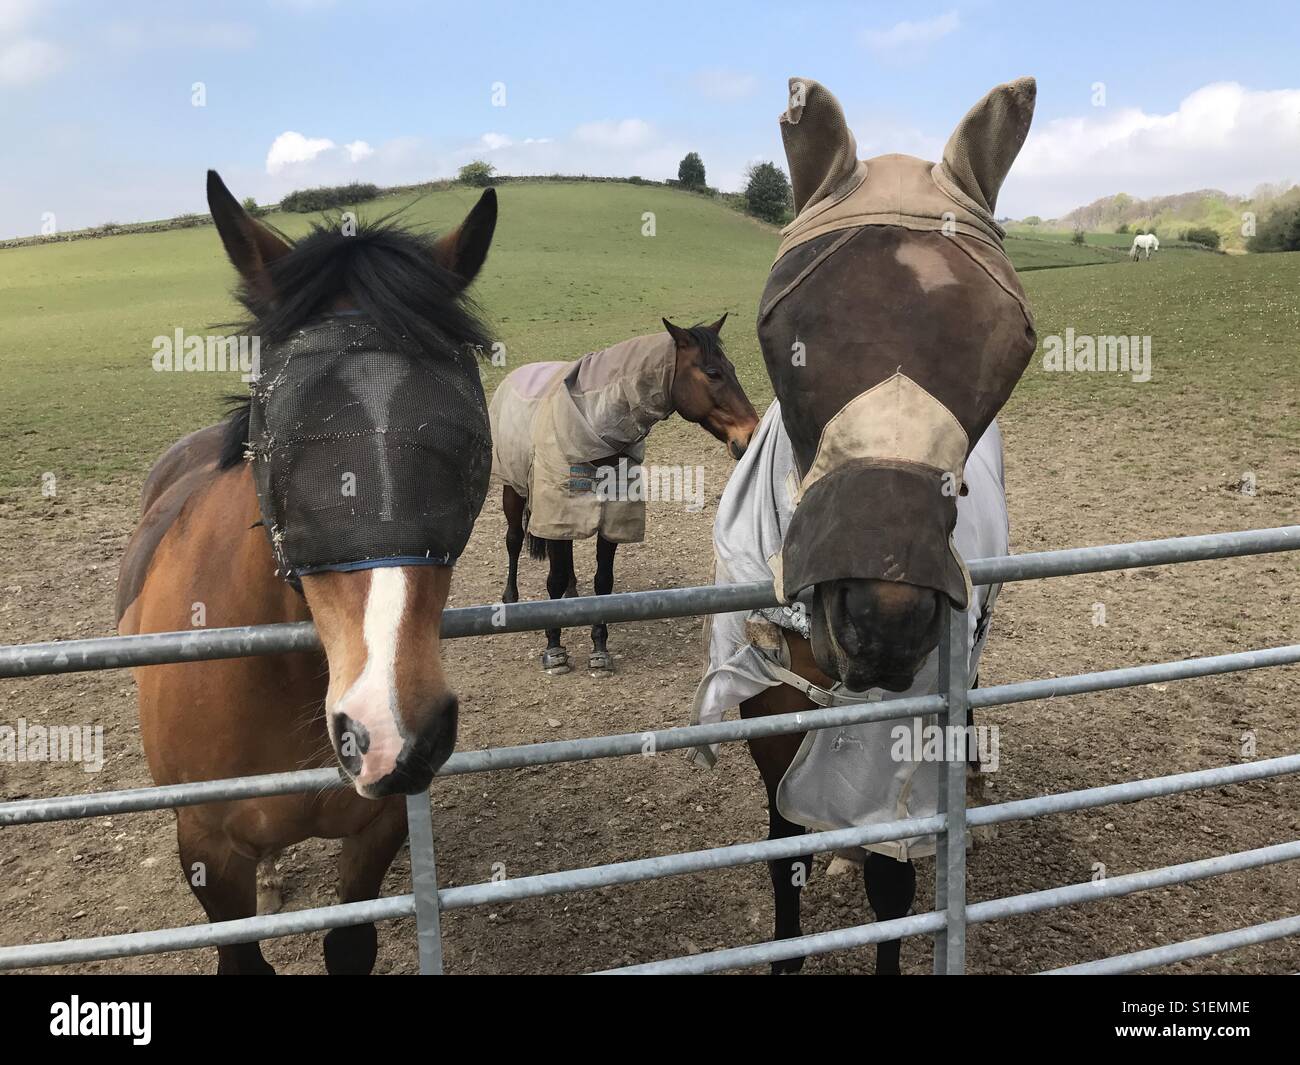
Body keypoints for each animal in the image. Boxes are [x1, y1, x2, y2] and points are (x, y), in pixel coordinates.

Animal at [116, 172, 499, 974]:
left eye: (462, 438)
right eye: (288, 440)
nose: (391, 726)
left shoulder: (377, 832)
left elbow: (350, 943)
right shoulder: (206, 851)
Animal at [489, 317, 758, 675]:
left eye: (731, 368)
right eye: (713, 373)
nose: (751, 433)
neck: (592, 423)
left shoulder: (612, 517)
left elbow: (604, 581)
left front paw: (600, 648)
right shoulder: (556, 507)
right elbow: (553, 579)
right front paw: (554, 649)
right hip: (514, 489)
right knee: (514, 539)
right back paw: (511, 598)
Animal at [692, 75, 1039, 974]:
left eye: (1011, 346)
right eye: (780, 331)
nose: (884, 621)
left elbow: (892, 888)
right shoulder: (769, 725)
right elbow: (787, 867)